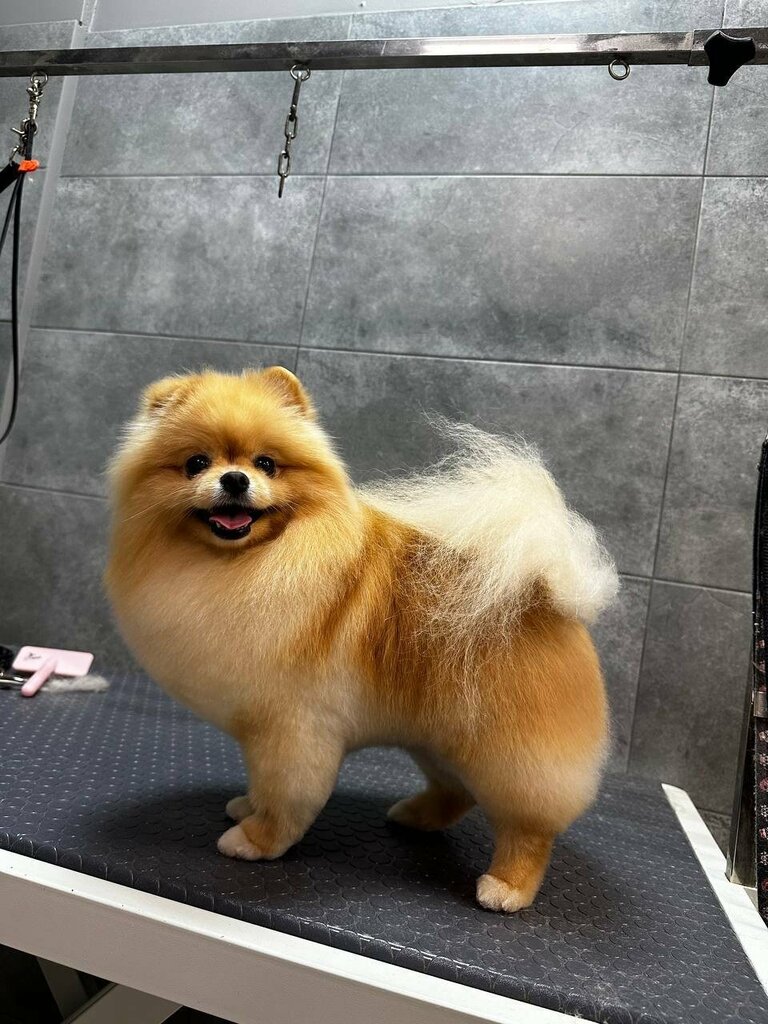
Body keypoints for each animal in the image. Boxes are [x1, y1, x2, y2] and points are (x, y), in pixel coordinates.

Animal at [105, 366, 617, 912]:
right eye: (196, 463)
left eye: (267, 463)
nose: (235, 478)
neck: (246, 564)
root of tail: (549, 590)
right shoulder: (260, 727)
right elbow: (262, 783)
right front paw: (248, 806)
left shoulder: (293, 727)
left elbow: (285, 795)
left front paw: (258, 839)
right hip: (438, 733)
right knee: (455, 791)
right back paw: (414, 815)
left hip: (506, 750)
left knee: (529, 827)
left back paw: (508, 886)